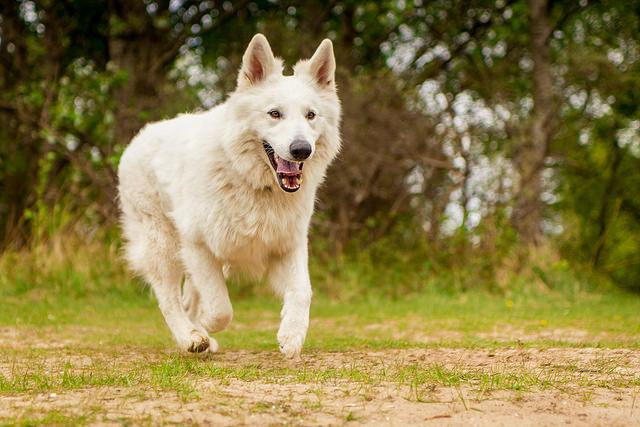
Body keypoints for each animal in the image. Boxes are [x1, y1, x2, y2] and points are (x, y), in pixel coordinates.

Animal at [118, 35, 342, 360]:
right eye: (275, 114)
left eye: (310, 115)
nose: (301, 150)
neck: (251, 181)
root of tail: (140, 137)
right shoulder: (198, 247)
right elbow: (221, 308)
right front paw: (205, 327)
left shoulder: (287, 246)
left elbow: (303, 292)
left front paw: (291, 336)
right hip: (162, 246)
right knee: (169, 298)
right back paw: (191, 336)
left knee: (187, 298)